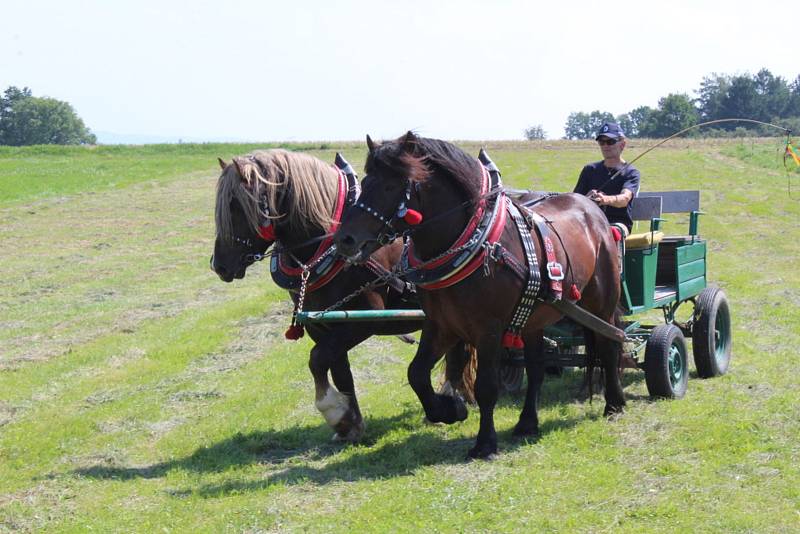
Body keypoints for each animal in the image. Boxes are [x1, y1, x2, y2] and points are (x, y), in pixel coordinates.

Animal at [212, 150, 476, 444]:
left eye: (236, 206)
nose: (219, 265)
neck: (328, 248)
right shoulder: (322, 324)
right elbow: (339, 370)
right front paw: (350, 423)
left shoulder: (363, 321)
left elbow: (317, 359)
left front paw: (334, 411)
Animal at [334, 133, 620, 460]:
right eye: (365, 181)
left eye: (390, 186)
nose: (345, 239)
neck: (471, 243)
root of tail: (592, 206)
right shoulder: (441, 325)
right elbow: (416, 373)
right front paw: (450, 410)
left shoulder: (488, 330)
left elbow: (486, 386)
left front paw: (485, 442)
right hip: (534, 316)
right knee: (536, 369)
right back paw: (527, 423)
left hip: (601, 305)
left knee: (610, 345)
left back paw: (614, 404)